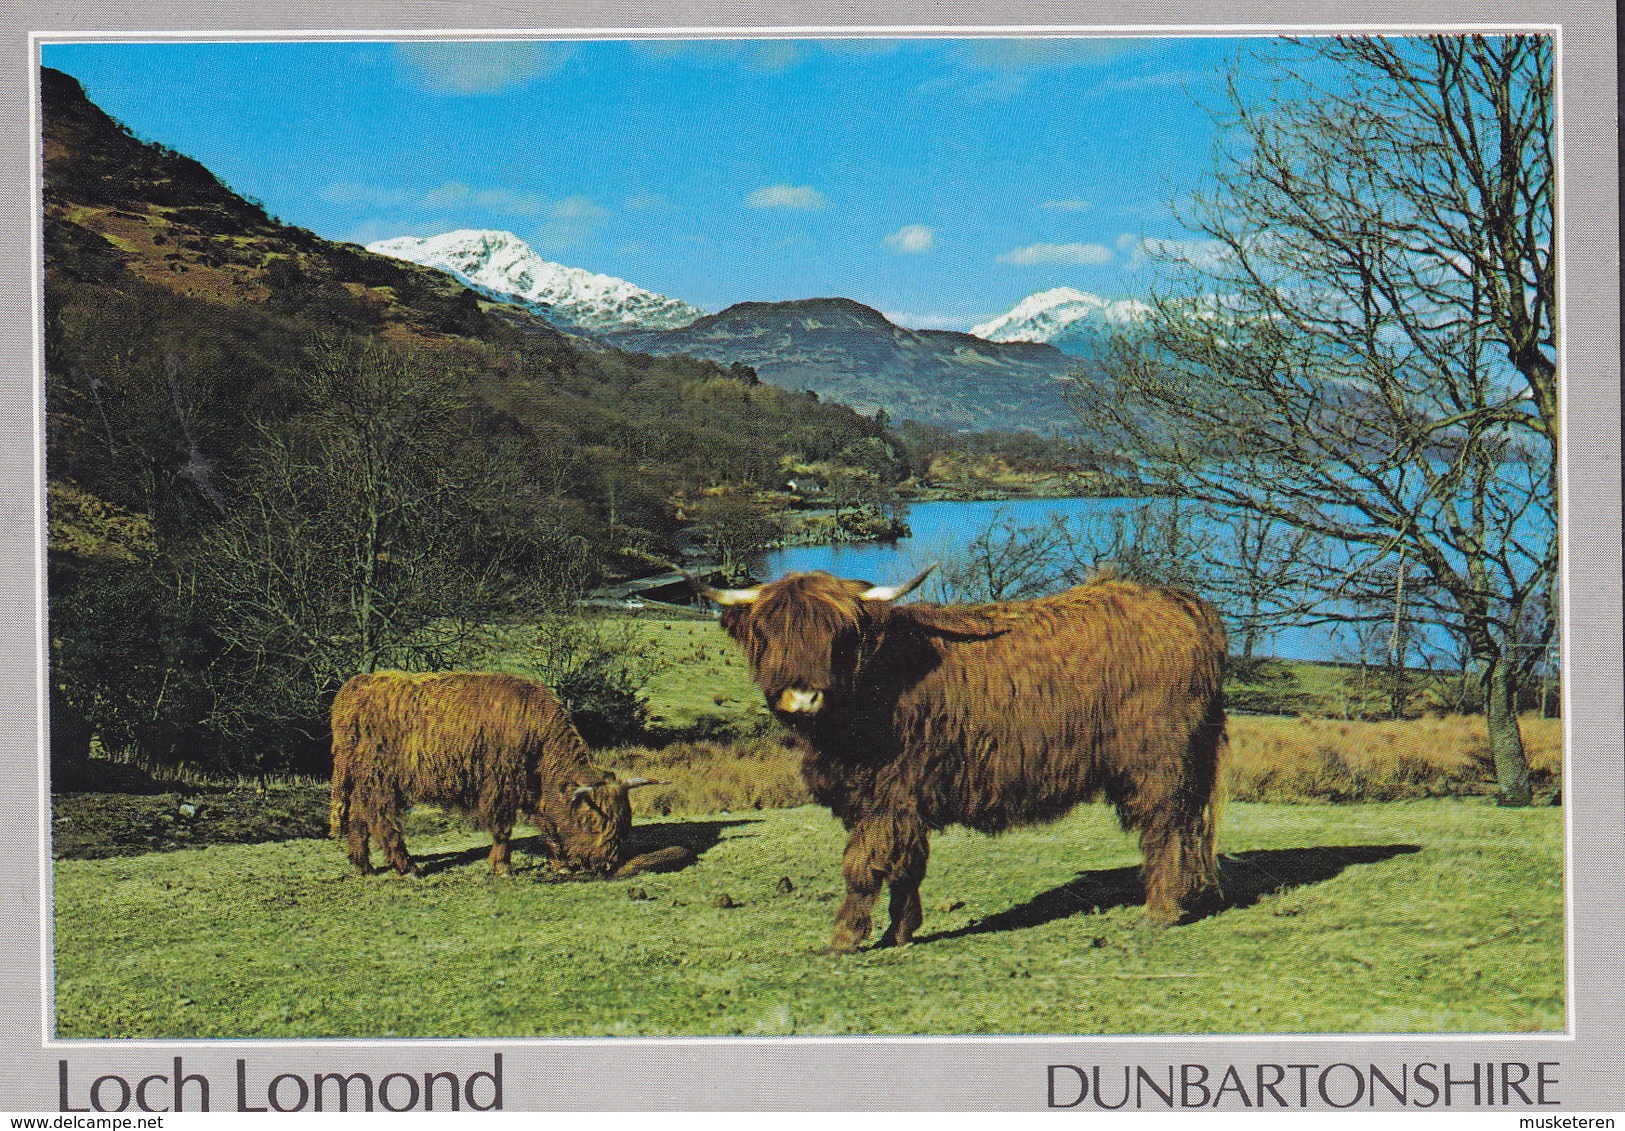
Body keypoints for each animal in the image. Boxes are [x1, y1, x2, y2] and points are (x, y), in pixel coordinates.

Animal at [326, 672, 656, 877]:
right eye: (593, 823)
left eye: (625, 826)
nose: (607, 865)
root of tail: (355, 687)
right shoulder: (501, 783)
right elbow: (503, 827)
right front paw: (502, 866)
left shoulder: (532, 787)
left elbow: (547, 823)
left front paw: (559, 861)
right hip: (379, 778)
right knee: (381, 819)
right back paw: (407, 868)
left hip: (364, 779)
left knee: (358, 816)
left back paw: (363, 865)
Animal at [692, 568, 1222, 949]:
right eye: (769, 635)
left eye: (839, 639)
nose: (803, 697)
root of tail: (1179, 603)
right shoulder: (890, 800)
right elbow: (905, 866)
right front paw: (900, 931)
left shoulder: (887, 797)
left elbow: (863, 865)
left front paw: (844, 937)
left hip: (1156, 763)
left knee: (1165, 828)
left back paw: (1159, 912)